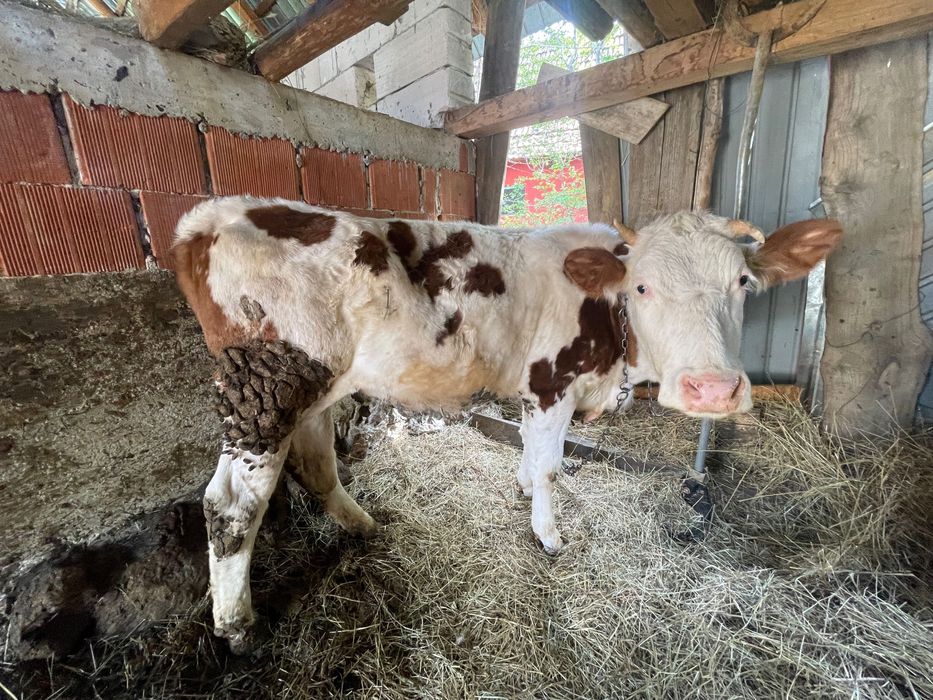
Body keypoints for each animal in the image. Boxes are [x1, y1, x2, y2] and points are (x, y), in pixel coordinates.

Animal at [172, 196, 842, 651]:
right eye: (644, 287)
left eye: (744, 282)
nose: (713, 389)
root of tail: (208, 219)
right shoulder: (552, 382)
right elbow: (550, 465)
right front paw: (548, 534)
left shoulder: (532, 391)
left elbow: (528, 451)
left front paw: (520, 488)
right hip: (267, 390)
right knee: (230, 504)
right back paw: (236, 625)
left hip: (309, 390)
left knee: (314, 463)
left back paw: (361, 524)